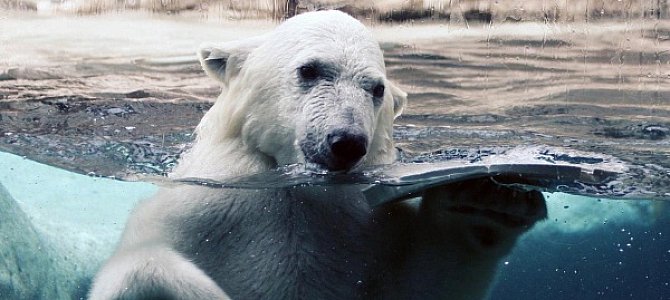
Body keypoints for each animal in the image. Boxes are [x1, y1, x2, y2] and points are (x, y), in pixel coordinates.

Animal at [89, 10, 548, 298]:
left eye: (376, 89)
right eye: (309, 69)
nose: (346, 142)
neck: (298, 190)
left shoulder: (371, 229)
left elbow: (422, 285)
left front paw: (487, 201)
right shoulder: (200, 210)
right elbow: (143, 266)